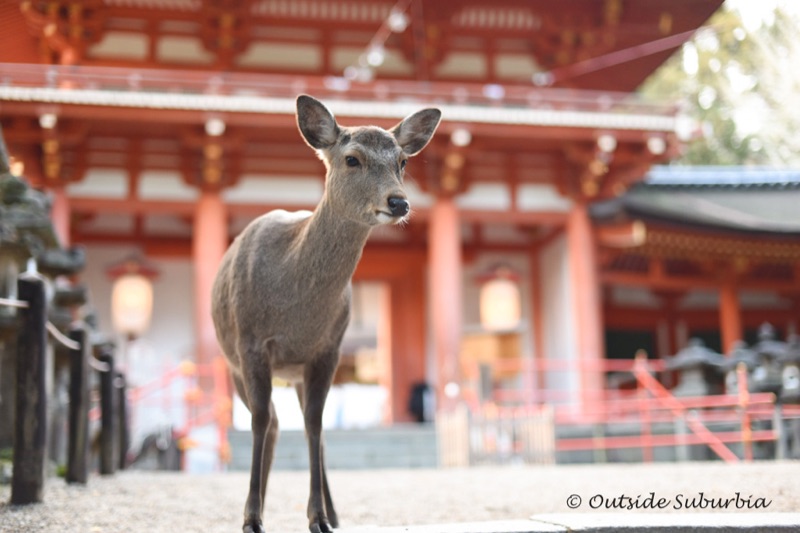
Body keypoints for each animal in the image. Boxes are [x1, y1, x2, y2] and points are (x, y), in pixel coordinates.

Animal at [211, 94, 441, 533]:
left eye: (402, 161)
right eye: (352, 159)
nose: (399, 202)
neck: (296, 311)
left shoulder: (327, 350)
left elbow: (316, 424)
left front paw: (317, 516)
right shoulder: (251, 344)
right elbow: (260, 421)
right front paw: (251, 518)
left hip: (299, 371)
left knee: (306, 427)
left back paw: (331, 512)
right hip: (232, 366)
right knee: (272, 423)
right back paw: (258, 506)